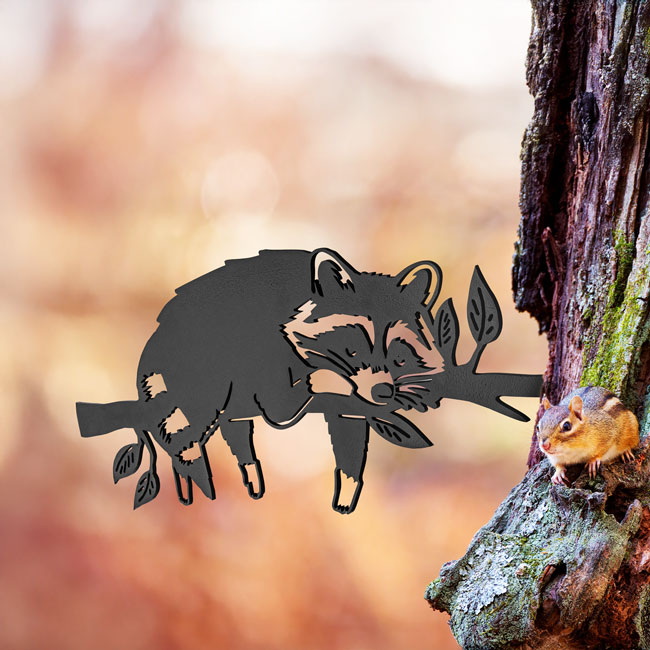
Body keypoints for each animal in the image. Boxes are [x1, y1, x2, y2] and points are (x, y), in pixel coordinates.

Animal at [76, 249, 442, 513]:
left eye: (398, 356)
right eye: (353, 348)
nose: (382, 392)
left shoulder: (352, 405)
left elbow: (349, 436)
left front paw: (346, 491)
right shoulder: (272, 352)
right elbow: (286, 403)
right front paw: (328, 380)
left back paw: (245, 471)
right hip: (203, 364)